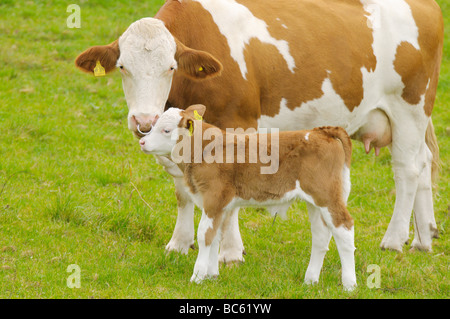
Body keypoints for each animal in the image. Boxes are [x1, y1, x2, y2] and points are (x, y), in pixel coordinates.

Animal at [74, 0, 442, 260]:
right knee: (424, 162)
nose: (144, 121)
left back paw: (394, 239)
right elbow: (182, 191)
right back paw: (424, 237)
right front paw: (179, 243)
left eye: (171, 67)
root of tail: (427, 5)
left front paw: (230, 252)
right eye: (123, 67)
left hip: (409, 108)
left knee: (407, 170)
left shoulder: (239, 124)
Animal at [139, 105, 356, 292]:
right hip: (314, 202)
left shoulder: (213, 199)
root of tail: (321, 132)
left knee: (344, 228)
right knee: (321, 236)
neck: (204, 149)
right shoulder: (221, 205)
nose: (142, 142)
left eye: (166, 130)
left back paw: (349, 284)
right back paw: (310, 280)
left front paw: (198, 276)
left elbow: (204, 235)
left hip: (327, 196)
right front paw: (211, 276)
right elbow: (215, 236)